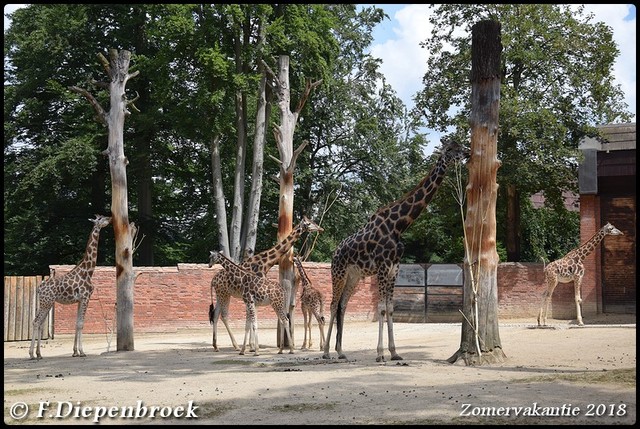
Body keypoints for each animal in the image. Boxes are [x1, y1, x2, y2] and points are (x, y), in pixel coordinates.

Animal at [28, 214, 112, 358]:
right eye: (101, 218)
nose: (111, 218)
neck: (88, 271)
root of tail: (39, 288)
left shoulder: (79, 300)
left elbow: (76, 323)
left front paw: (75, 352)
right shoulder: (85, 297)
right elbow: (81, 324)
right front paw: (82, 352)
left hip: (46, 302)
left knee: (39, 323)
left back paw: (38, 353)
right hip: (46, 302)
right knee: (36, 322)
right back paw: (32, 354)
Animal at [208, 214, 322, 352]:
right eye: (309, 223)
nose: (321, 228)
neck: (266, 262)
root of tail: (213, 280)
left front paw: (251, 346)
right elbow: (252, 318)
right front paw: (252, 347)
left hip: (224, 294)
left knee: (216, 315)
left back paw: (218, 346)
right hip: (223, 293)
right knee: (222, 315)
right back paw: (233, 345)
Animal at [322, 140, 468, 362]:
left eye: (459, 146)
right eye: (451, 149)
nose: (467, 153)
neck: (399, 225)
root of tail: (335, 252)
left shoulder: (394, 268)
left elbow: (390, 308)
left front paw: (394, 352)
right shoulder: (383, 267)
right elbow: (381, 308)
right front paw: (380, 353)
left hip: (353, 276)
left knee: (342, 305)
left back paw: (340, 351)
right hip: (338, 273)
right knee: (332, 304)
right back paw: (326, 352)